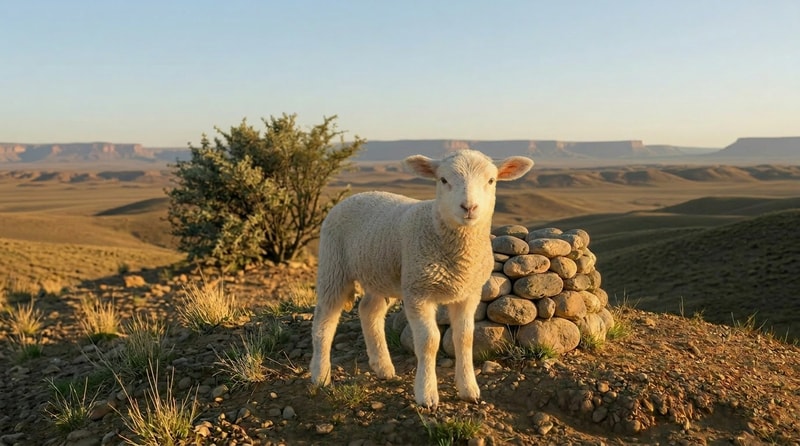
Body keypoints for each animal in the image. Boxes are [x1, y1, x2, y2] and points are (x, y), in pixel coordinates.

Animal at [310, 149, 534, 408]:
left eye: (491, 180)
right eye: (443, 180)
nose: (469, 207)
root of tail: (355, 195)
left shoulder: (469, 293)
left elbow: (465, 338)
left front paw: (468, 388)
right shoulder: (419, 293)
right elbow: (429, 341)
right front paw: (427, 394)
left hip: (384, 274)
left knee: (369, 311)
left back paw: (383, 367)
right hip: (334, 265)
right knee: (324, 320)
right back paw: (320, 375)